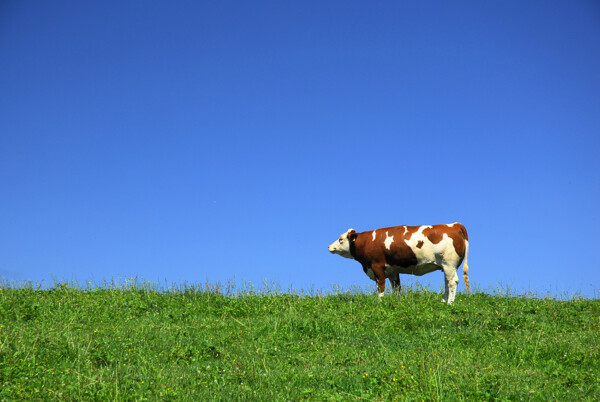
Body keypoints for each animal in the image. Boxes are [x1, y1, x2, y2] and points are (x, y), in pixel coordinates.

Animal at [328, 221, 468, 304]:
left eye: (341, 239)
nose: (329, 247)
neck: (368, 241)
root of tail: (453, 224)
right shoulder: (392, 271)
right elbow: (396, 287)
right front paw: (396, 301)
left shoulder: (377, 266)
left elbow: (381, 286)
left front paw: (380, 302)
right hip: (446, 266)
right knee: (447, 282)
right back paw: (443, 301)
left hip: (449, 264)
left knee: (452, 282)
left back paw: (449, 303)